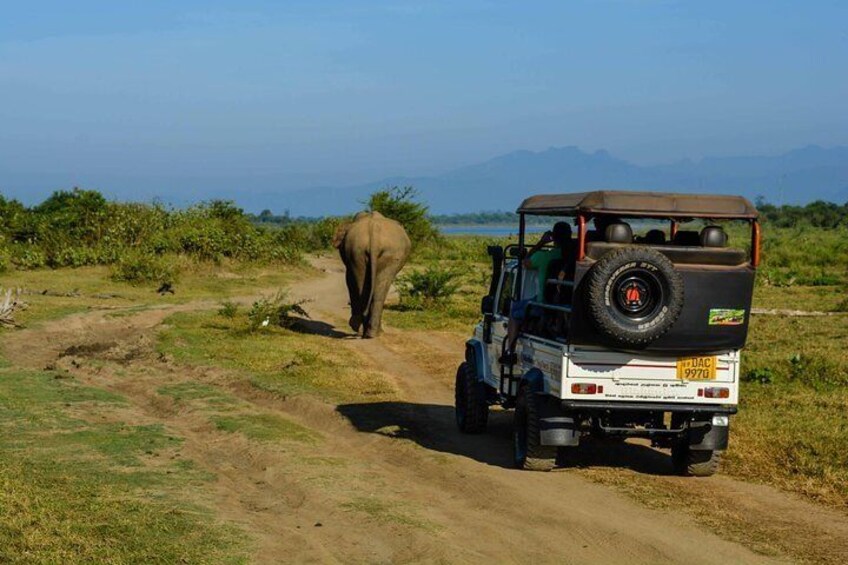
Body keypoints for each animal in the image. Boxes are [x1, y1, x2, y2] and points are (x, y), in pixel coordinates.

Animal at [332, 209, 410, 338]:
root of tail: (374, 230)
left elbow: (349, 281)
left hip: (366, 251)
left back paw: (365, 330)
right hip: (365, 251)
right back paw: (370, 333)